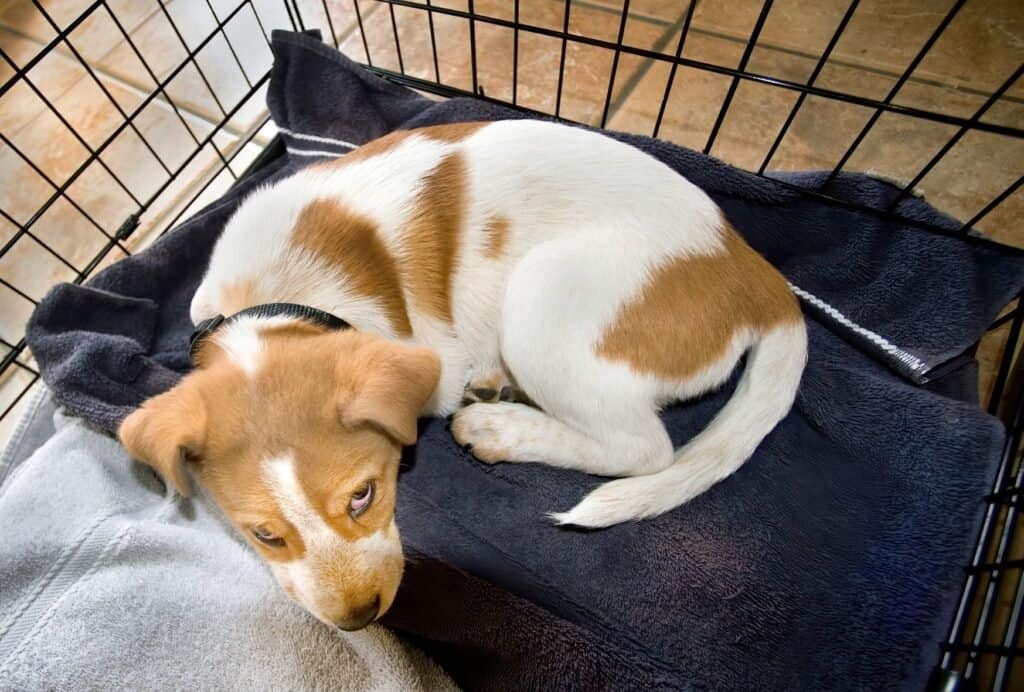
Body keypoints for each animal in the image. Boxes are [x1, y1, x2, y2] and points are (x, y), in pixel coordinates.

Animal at [117, 118, 806, 626]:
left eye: (364, 496)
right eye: (265, 535)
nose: (359, 619)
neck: (279, 295)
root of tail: (753, 271)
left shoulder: (429, 365)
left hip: (542, 298)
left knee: (642, 449)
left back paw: (500, 427)